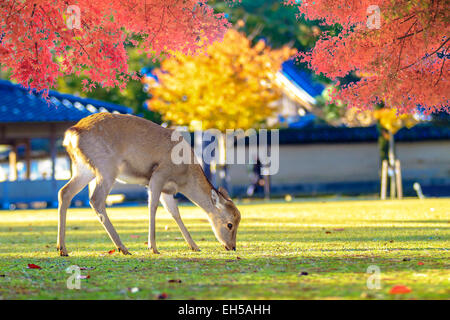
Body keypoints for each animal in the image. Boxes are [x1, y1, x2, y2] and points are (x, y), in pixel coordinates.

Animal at [57, 112, 241, 255]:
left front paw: (194, 246)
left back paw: (62, 249)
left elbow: (175, 213)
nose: (232, 247)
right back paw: (123, 248)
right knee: (96, 199)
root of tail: (71, 134)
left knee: (64, 192)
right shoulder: (159, 174)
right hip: (106, 167)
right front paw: (153, 247)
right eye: (230, 224)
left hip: (83, 169)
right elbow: (152, 206)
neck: (184, 177)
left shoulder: (168, 190)